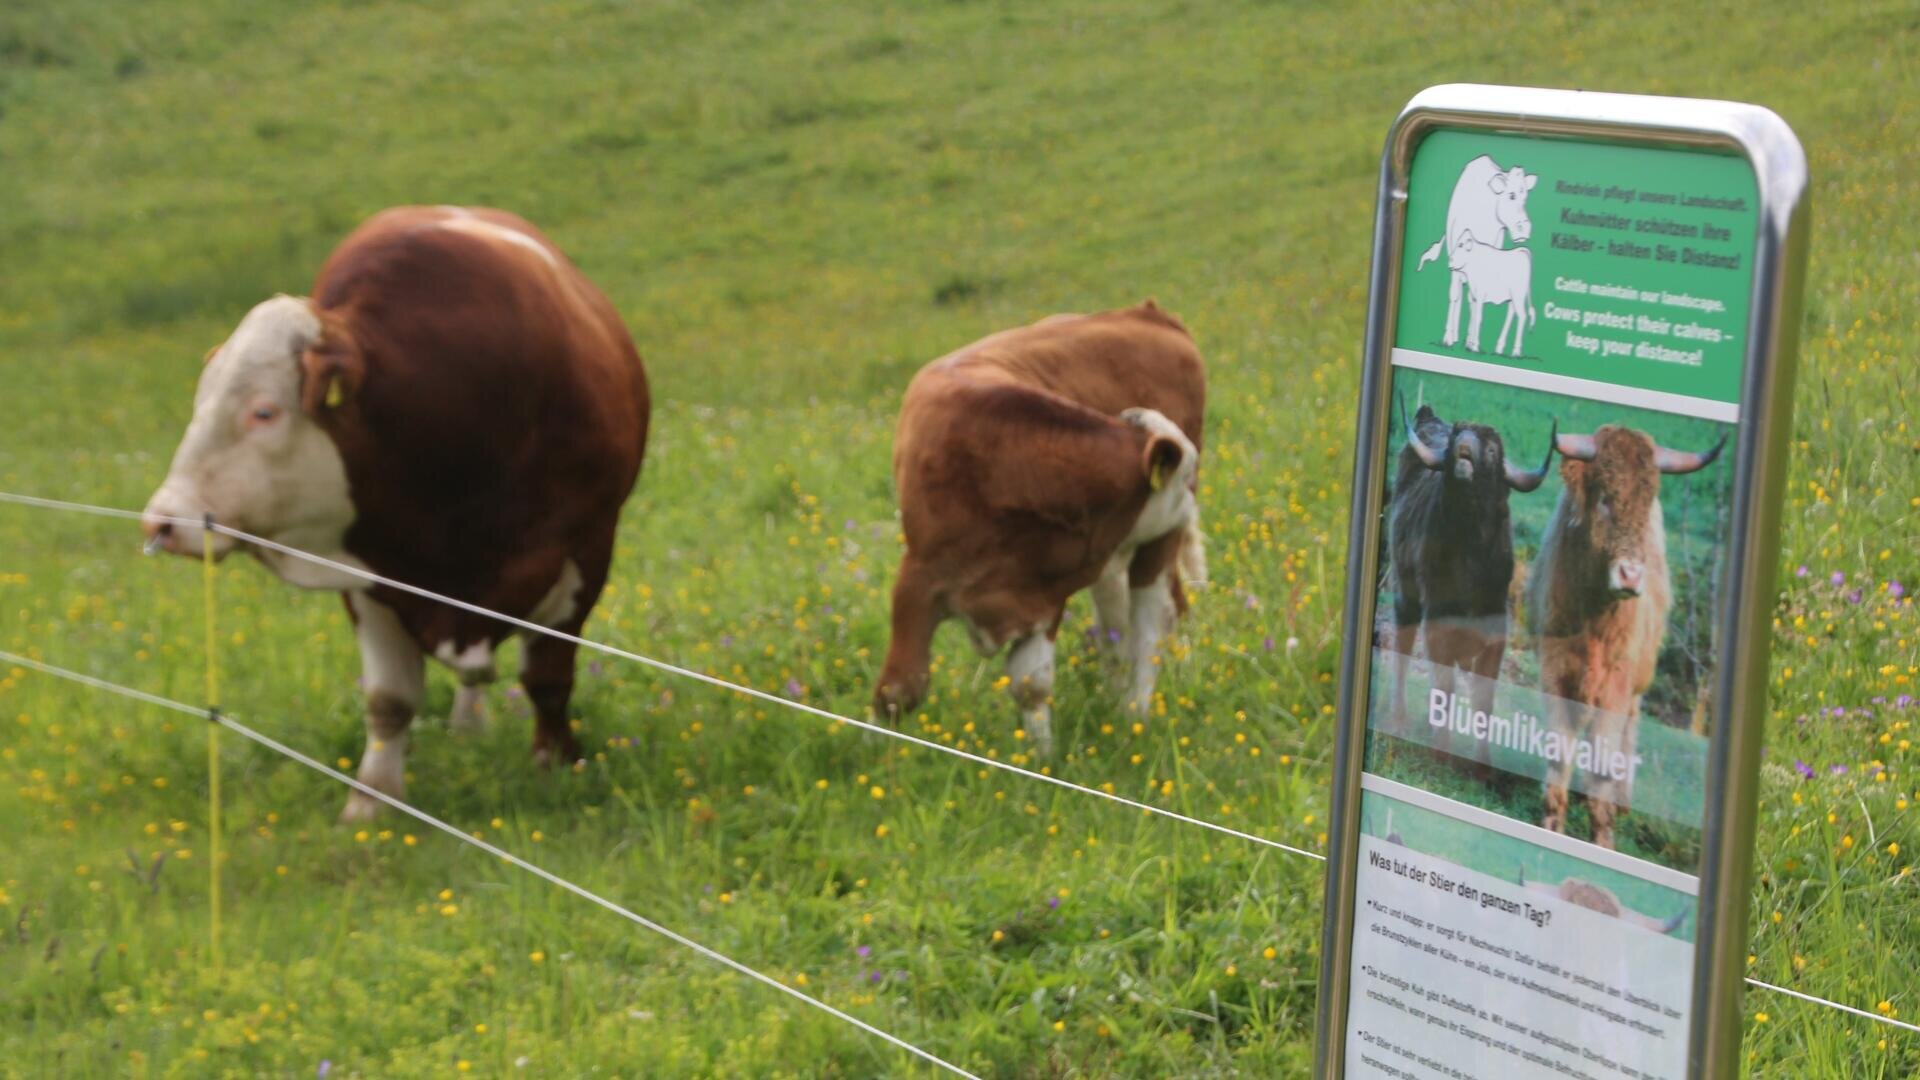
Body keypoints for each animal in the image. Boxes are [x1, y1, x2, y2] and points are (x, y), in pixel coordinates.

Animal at [140, 206, 650, 822]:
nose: (163, 521)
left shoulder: (586, 547)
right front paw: (372, 802)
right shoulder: (369, 573)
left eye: (263, 412)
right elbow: (389, 700)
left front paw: (555, 765)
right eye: (200, 405)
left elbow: (548, 678)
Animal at [872, 301, 1206, 758]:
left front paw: (1042, 761)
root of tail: (1144, 311)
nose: (1193, 502)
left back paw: (1134, 721)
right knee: (1122, 629)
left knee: (1151, 630)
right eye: (1184, 474)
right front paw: (874, 756)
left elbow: (1032, 681)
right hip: (1127, 555)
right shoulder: (917, 582)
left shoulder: (1045, 594)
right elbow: (899, 689)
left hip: (1151, 552)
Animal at [1383, 393, 1552, 784]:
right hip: (1404, 596)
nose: (1462, 449)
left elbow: (1484, 698)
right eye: (1458, 435)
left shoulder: (1496, 629)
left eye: (1490, 448)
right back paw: (1398, 718)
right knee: (1401, 650)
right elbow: (1444, 684)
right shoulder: (1437, 620)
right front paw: (1441, 752)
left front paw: (1483, 766)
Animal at [1415, 155, 1538, 349]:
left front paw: (1472, 341)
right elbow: (1455, 295)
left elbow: (1474, 300)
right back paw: (1454, 335)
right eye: (1511, 195)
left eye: (1525, 196)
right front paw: (1449, 337)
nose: (1524, 229)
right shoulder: (1457, 261)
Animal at [1528, 425, 1727, 848]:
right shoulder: (1554, 671)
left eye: (1646, 502)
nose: (1631, 576)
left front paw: (1603, 835)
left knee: (1630, 729)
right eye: (1604, 496)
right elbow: (1559, 750)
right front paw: (1551, 822)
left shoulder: (1616, 686)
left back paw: (1621, 799)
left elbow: (1604, 757)